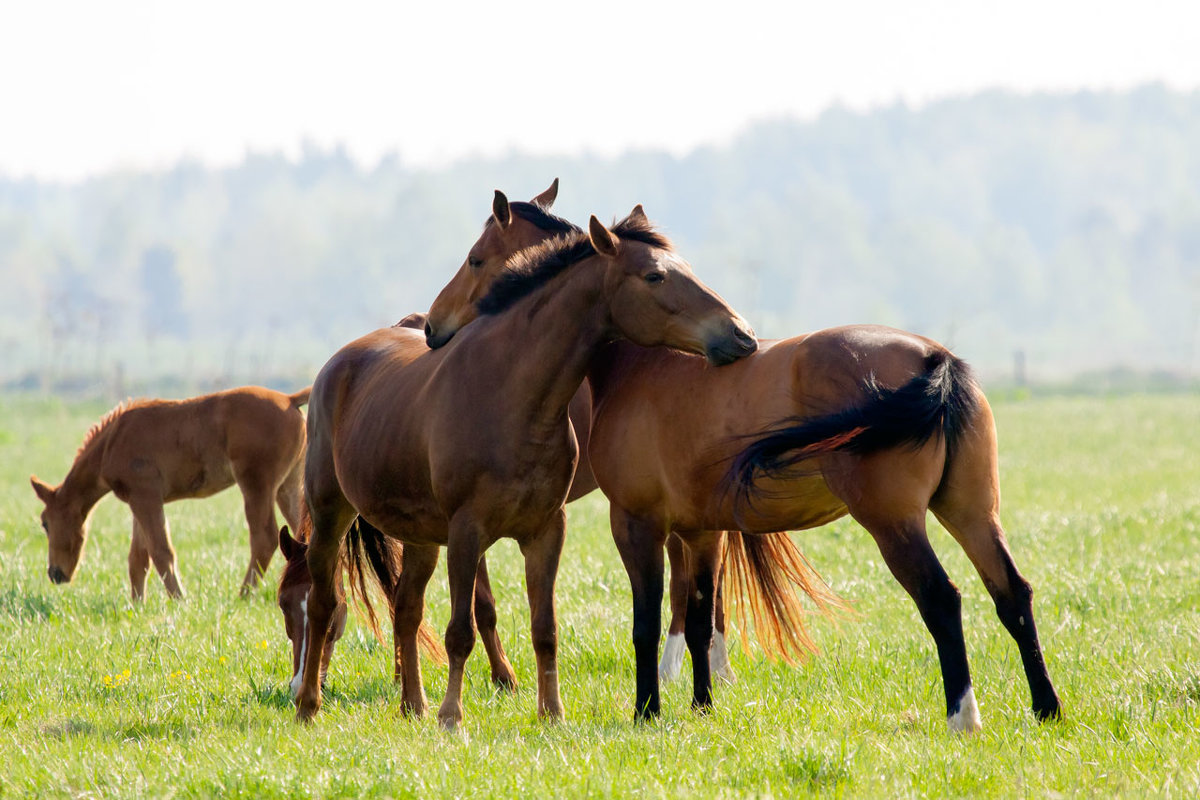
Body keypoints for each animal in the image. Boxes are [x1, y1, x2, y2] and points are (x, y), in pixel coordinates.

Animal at [33, 383, 314, 597]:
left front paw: (179, 599)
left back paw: (244, 594)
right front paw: (137, 604)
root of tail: (289, 400)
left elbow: (161, 551)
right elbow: (138, 558)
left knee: (265, 538)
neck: (111, 443)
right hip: (287, 486)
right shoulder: (138, 500)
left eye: (45, 523)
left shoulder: (146, 497)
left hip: (257, 484)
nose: (55, 573)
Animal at [295, 208, 753, 734]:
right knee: (324, 604)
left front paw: (551, 712)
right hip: (331, 514)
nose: (740, 334)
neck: (512, 394)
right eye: (655, 276)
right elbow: (461, 630)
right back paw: (309, 704)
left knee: (406, 609)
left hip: (420, 537)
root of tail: (337, 363)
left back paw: (414, 704)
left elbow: (544, 628)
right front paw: (453, 718)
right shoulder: (467, 531)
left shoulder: (545, 531)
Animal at [422, 199, 1060, 734]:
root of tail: (936, 358)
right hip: (971, 512)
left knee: (943, 601)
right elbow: (701, 618)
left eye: (477, 258)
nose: (433, 326)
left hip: (896, 525)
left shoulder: (637, 525)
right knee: (1012, 594)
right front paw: (702, 706)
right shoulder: (701, 532)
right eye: (659, 274)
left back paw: (963, 716)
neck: (641, 367)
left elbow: (648, 621)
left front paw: (647, 710)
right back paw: (1045, 708)